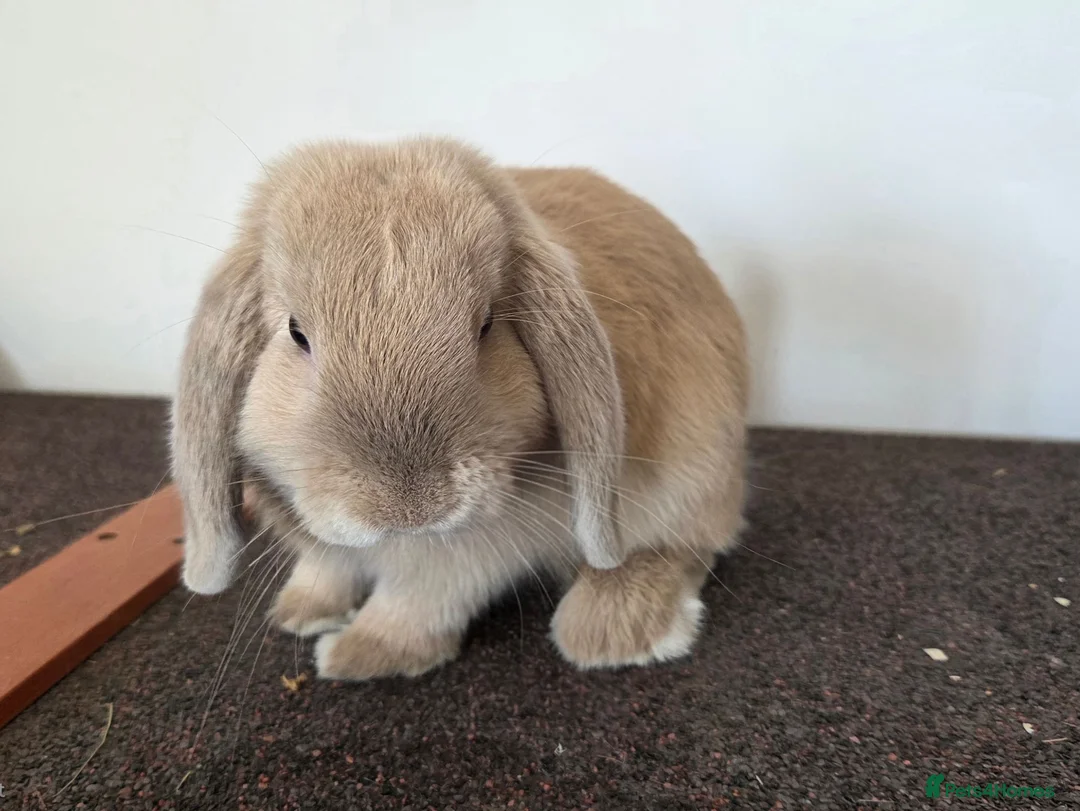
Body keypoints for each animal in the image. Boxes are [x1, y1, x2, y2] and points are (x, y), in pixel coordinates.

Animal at [170, 136, 749, 680]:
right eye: (296, 333)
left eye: (488, 325)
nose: (410, 507)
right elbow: (326, 566)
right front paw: (302, 612)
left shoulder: (471, 551)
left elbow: (419, 599)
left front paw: (358, 653)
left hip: (692, 477)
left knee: (684, 550)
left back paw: (611, 630)